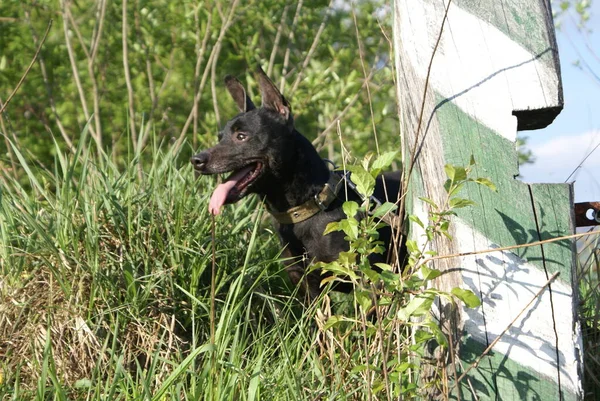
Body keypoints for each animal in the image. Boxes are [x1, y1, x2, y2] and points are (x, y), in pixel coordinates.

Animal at [190, 65, 400, 298]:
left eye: (241, 136)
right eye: (220, 137)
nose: (196, 160)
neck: (308, 206)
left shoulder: (372, 280)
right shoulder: (306, 283)